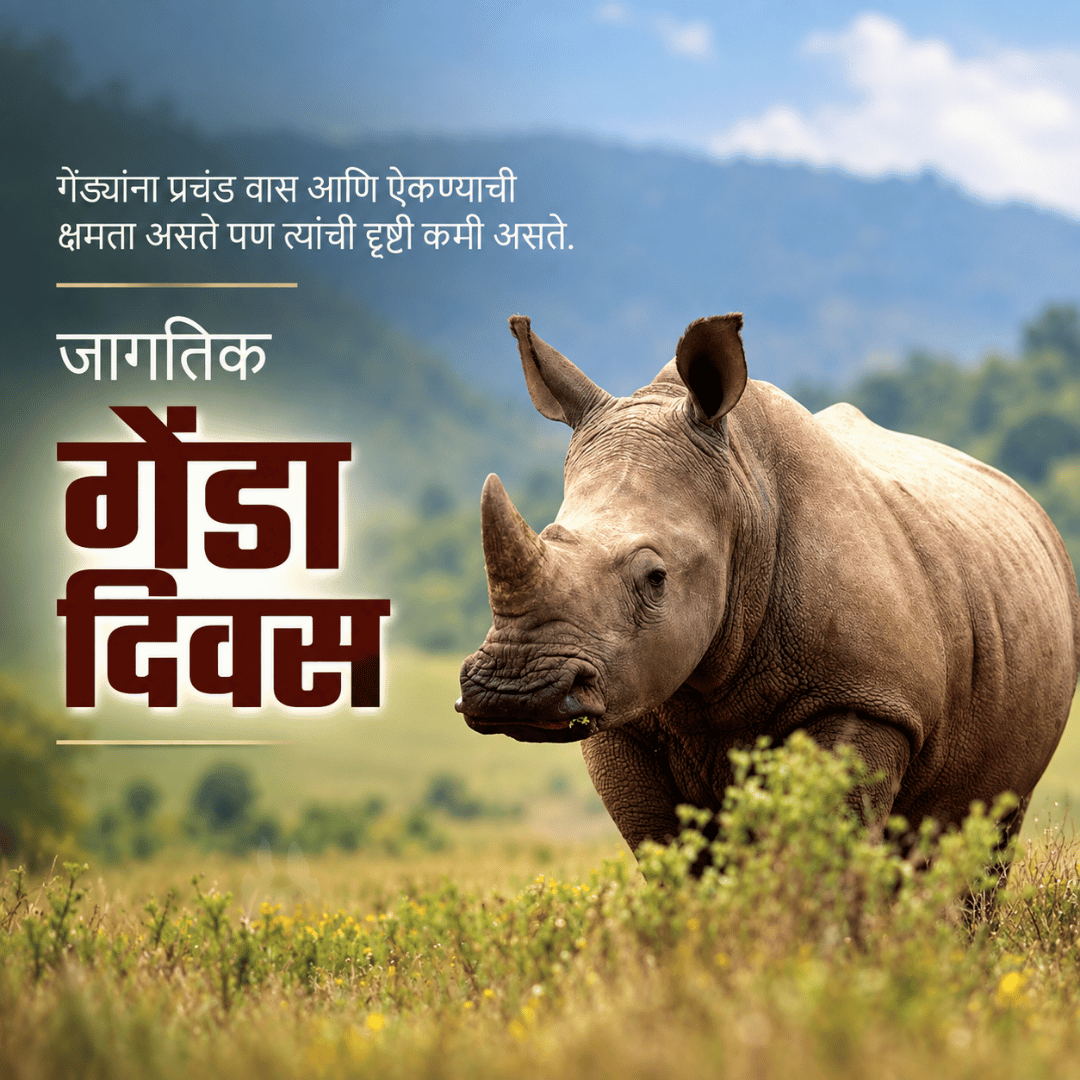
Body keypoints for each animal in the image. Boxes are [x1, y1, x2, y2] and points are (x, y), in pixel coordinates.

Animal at [456, 314, 1080, 863]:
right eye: (548, 536)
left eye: (656, 578)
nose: (513, 693)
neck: (743, 498)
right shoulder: (624, 714)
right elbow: (672, 857)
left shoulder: (868, 699)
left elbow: (828, 849)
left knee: (988, 829)